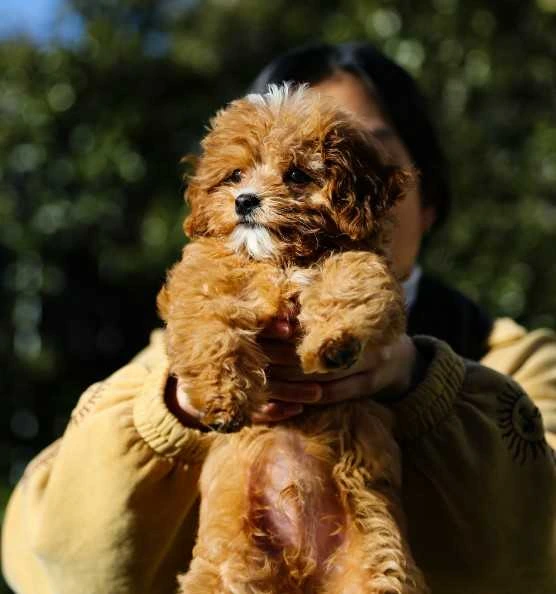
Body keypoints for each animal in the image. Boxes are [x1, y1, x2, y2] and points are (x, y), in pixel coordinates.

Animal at [159, 84, 428, 592]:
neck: (281, 260)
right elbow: (209, 327)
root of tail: (300, 567)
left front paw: (334, 342)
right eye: (235, 174)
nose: (245, 201)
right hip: (227, 568)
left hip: (376, 561)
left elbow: (353, 281)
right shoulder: (203, 281)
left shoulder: (360, 261)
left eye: (298, 175)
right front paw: (221, 399)